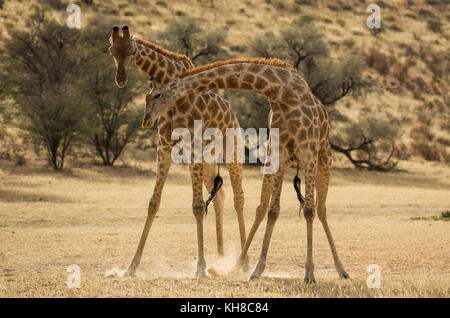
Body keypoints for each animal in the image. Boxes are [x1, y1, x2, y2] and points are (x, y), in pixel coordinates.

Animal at [109, 26, 250, 278]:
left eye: (132, 51)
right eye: (111, 50)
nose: (121, 78)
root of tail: (232, 113)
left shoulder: (192, 144)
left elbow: (197, 205)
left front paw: (200, 267)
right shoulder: (164, 145)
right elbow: (153, 203)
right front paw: (130, 267)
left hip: (231, 150)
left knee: (238, 198)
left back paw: (243, 264)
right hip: (209, 160)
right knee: (220, 195)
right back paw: (221, 259)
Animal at [146, 58, 350, 282]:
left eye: (157, 95)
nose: (147, 119)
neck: (281, 93)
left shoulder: (308, 154)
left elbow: (308, 210)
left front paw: (309, 273)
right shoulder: (279, 154)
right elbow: (272, 210)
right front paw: (257, 269)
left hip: (324, 160)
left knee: (321, 210)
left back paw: (342, 270)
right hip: (278, 162)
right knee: (262, 208)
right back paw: (236, 267)